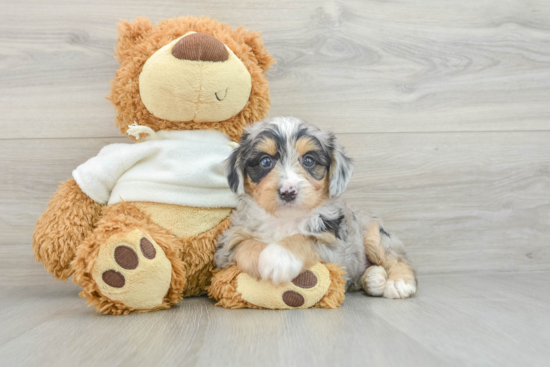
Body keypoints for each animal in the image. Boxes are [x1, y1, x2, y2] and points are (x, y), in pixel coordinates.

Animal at [216, 117, 418, 300]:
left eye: (309, 160)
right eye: (265, 161)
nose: (288, 192)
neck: (285, 219)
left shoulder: (335, 251)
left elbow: (305, 238)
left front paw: (279, 257)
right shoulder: (226, 247)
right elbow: (245, 243)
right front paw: (260, 259)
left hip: (375, 236)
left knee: (398, 258)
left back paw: (399, 282)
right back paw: (373, 278)